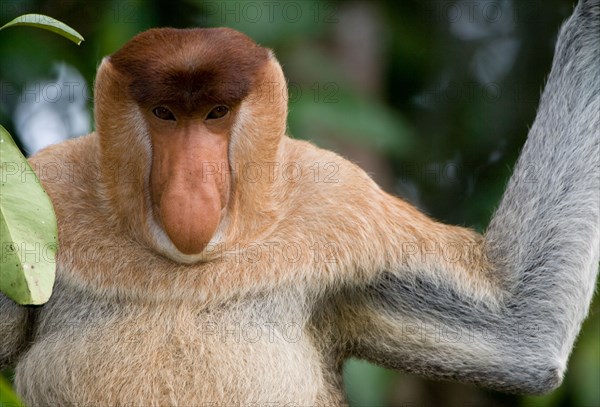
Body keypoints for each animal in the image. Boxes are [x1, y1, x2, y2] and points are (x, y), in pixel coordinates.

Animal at [0, 1, 596, 406]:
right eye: (165, 114)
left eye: (216, 113)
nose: (192, 186)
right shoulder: (48, 184)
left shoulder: (339, 205)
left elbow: (519, 331)